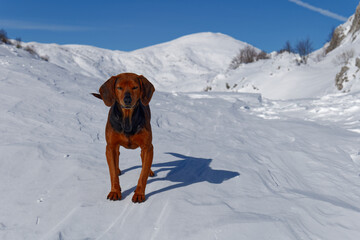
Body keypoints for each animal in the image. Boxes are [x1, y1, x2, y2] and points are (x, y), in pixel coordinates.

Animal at [91, 72, 155, 202]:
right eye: (119, 87)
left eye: (135, 87)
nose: (127, 100)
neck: (127, 120)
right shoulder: (110, 147)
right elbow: (112, 173)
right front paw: (115, 191)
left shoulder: (147, 147)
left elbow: (143, 174)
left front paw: (139, 193)